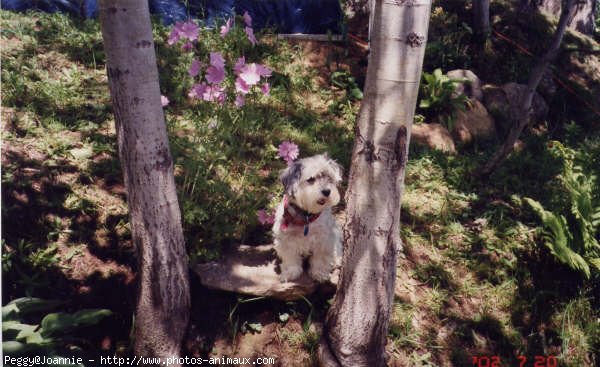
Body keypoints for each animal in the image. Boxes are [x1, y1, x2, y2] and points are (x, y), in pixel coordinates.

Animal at [272, 154, 342, 284]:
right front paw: (290, 272)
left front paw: (319, 273)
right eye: (311, 180)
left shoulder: (324, 239)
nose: (327, 191)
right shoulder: (286, 240)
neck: (306, 216)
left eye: (329, 178)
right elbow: (290, 258)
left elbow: (321, 258)